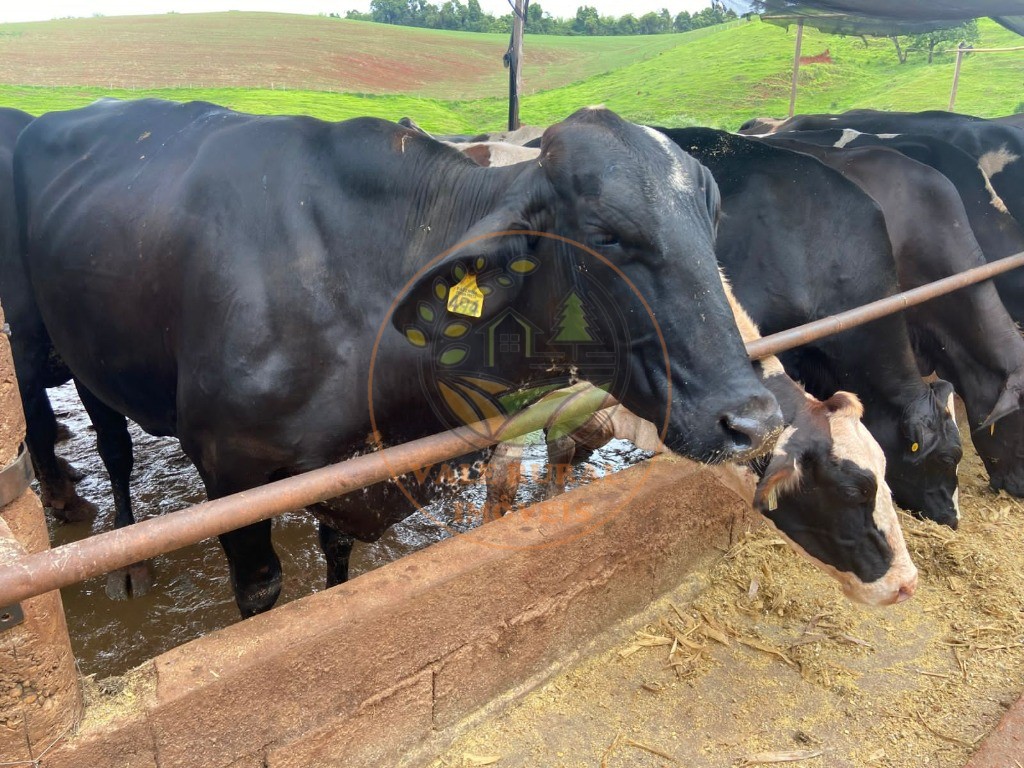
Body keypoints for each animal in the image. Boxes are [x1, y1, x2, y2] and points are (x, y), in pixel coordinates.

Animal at [12, 100, 782, 618]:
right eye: (606, 233)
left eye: (711, 218)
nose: (754, 420)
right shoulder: (229, 471)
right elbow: (261, 591)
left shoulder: (347, 470)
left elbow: (339, 560)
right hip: (49, 341)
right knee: (110, 448)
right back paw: (122, 551)